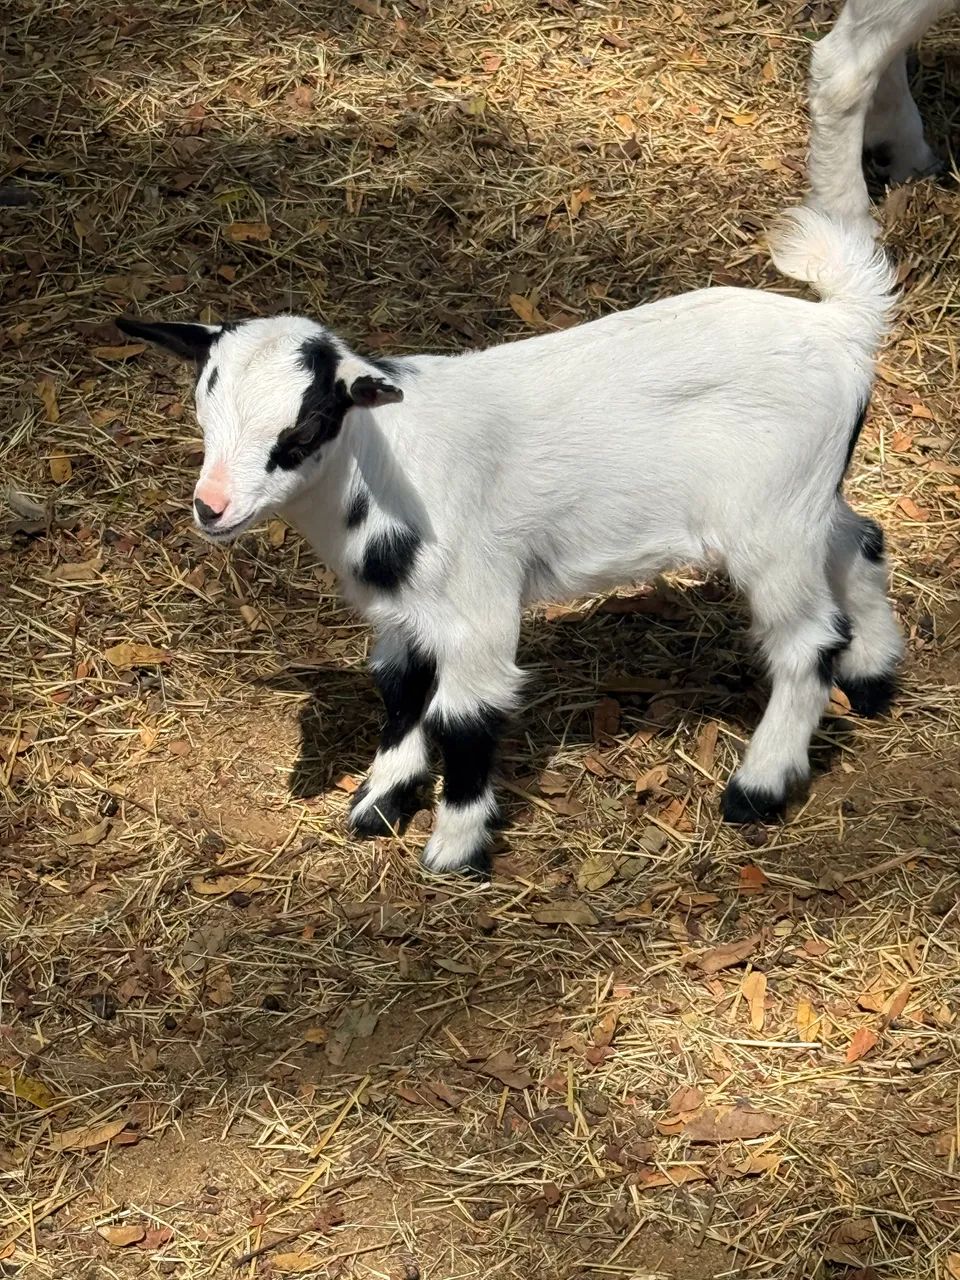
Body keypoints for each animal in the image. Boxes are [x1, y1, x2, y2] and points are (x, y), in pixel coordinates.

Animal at [117, 207, 903, 876]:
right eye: (202, 411)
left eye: (305, 428)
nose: (211, 509)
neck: (384, 466)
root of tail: (841, 325)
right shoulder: (402, 610)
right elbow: (400, 688)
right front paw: (379, 801)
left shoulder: (479, 605)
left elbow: (463, 717)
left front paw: (454, 850)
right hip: (804, 501)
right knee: (860, 539)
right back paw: (873, 679)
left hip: (770, 522)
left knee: (807, 639)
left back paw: (757, 787)